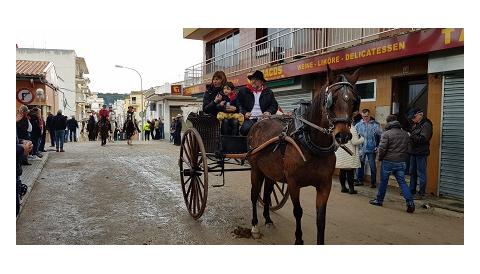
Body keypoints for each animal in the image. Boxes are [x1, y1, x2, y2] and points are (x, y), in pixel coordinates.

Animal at [248, 65, 360, 245]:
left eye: (354, 101)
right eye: (331, 100)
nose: (343, 135)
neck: (311, 143)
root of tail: (258, 122)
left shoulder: (325, 185)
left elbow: (321, 218)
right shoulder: (294, 183)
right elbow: (298, 211)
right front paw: (299, 239)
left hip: (270, 172)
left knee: (266, 194)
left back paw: (268, 219)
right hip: (255, 169)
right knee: (253, 195)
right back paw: (255, 226)